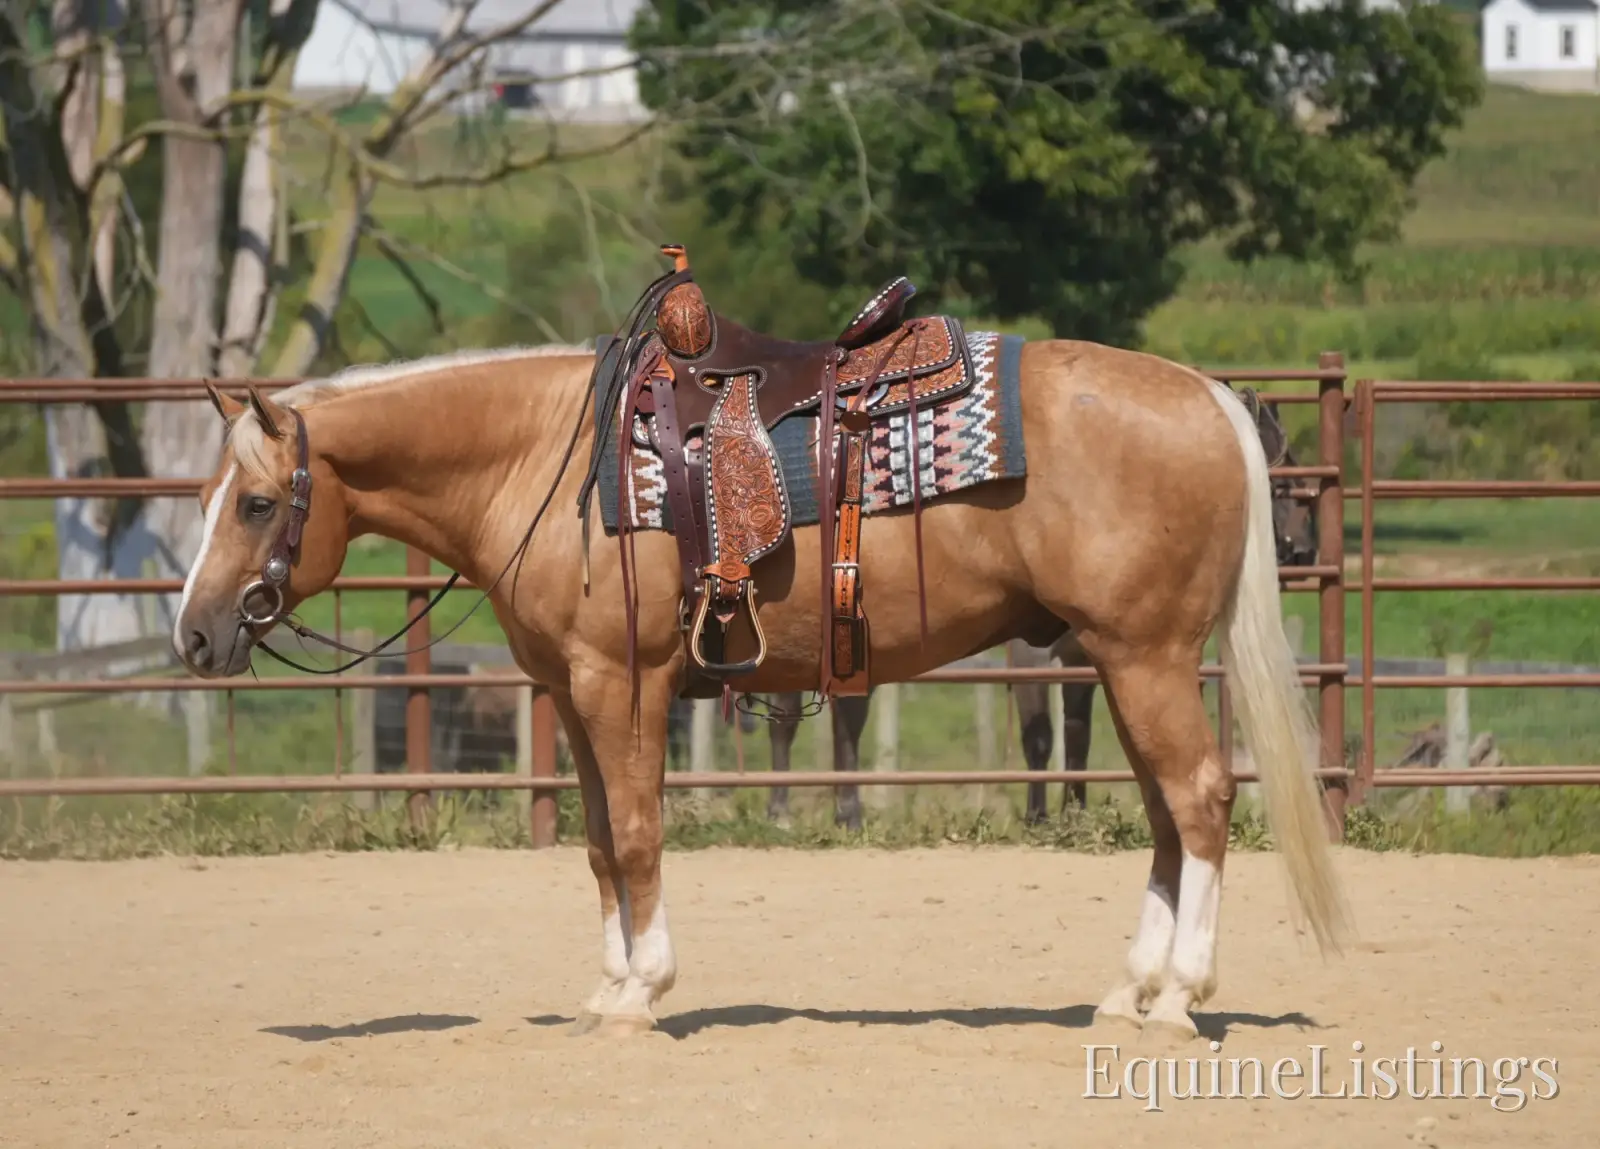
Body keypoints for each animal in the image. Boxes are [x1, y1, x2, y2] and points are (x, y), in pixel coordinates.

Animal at [758, 393, 1318, 830]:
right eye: (1279, 485)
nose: (1304, 551)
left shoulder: (1082, 657)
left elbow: (1077, 732)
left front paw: (1075, 810)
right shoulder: (1029, 656)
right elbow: (1039, 735)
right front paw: (1037, 814)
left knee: (847, 718)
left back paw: (846, 808)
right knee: (789, 720)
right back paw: (784, 808)